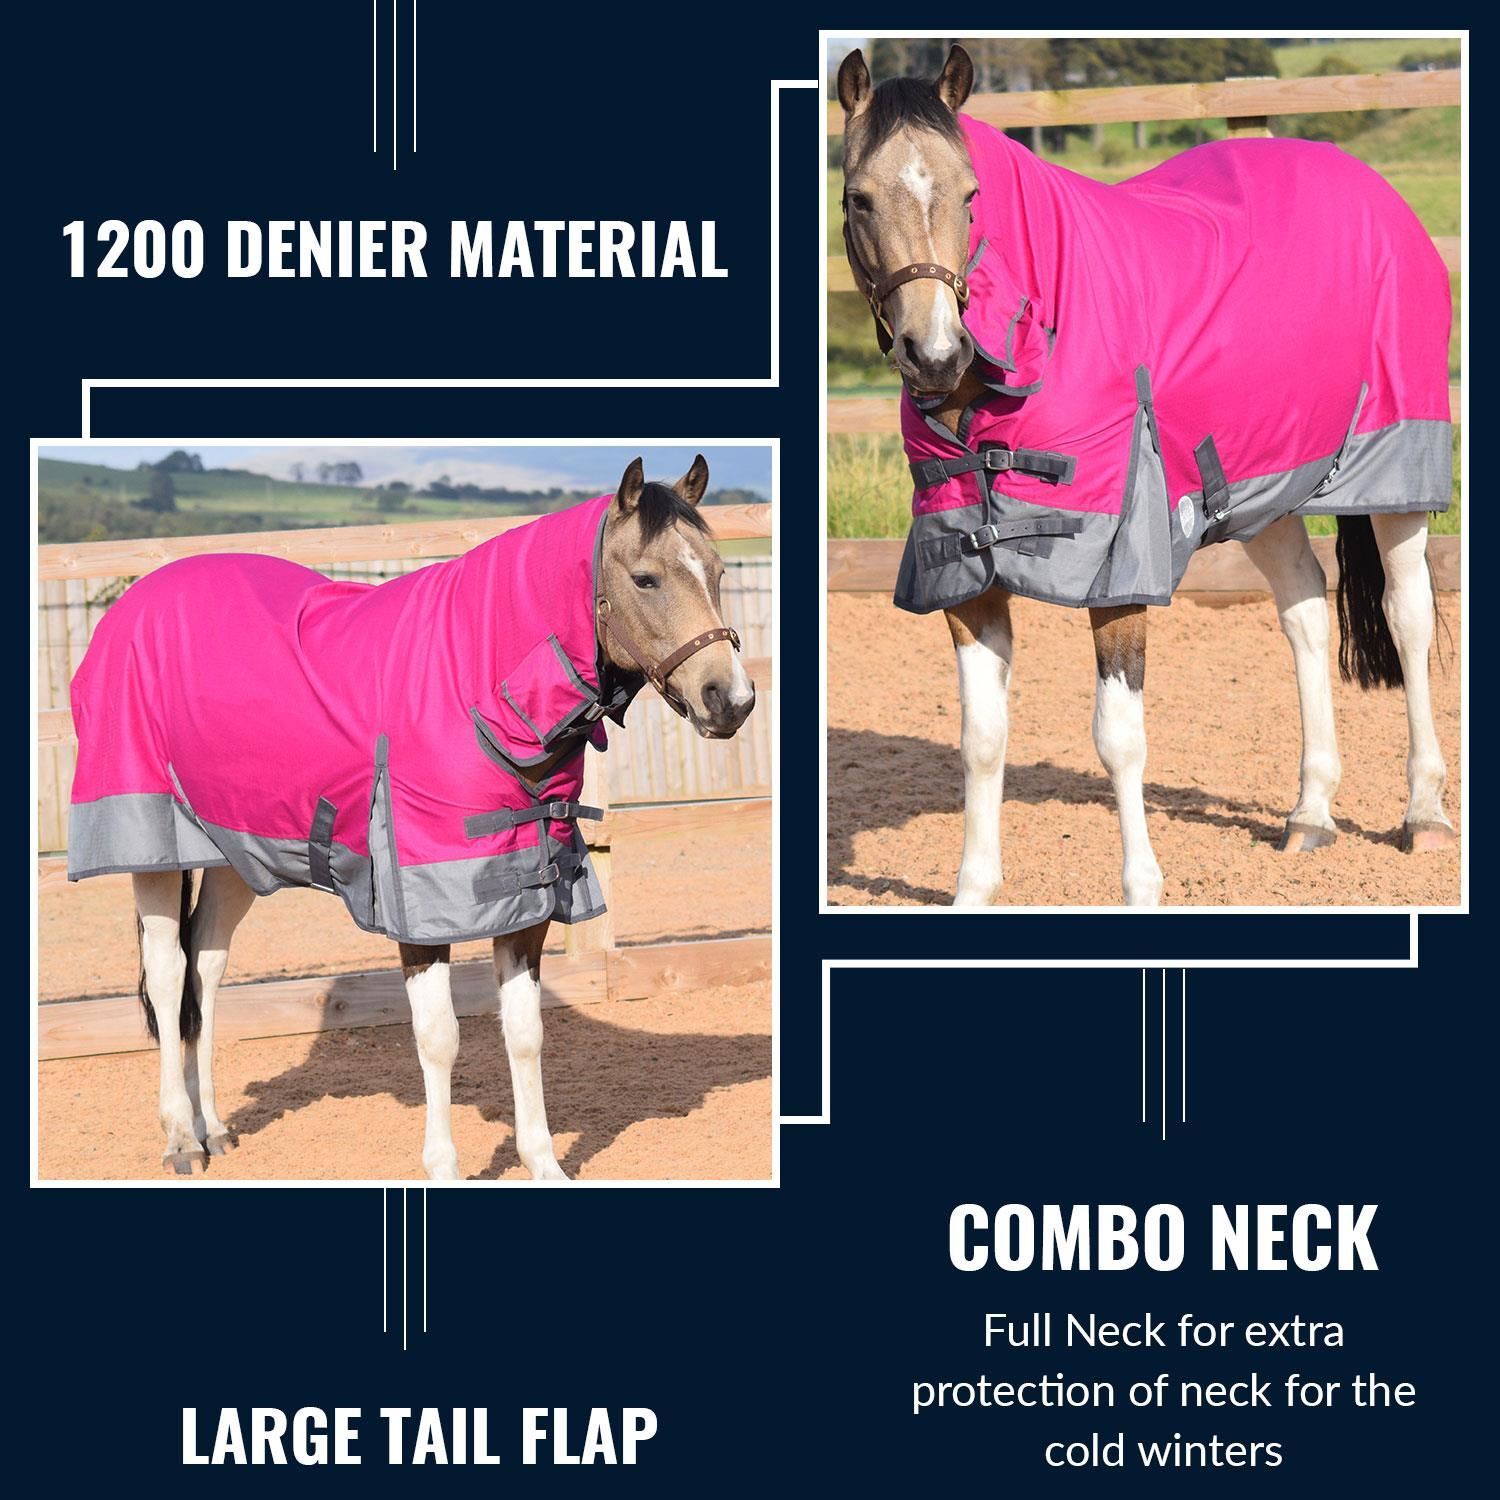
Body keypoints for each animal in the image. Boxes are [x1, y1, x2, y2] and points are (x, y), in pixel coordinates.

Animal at [66, 458, 756, 1177]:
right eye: (645, 578)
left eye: (717, 570)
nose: (730, 699)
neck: (472, 683)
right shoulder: (420, 904)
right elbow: (438, 1038)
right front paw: (444, 1167)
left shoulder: (529, 897)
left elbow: (525, 1033)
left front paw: (544, 1163)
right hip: (153, 845)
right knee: (169, 972)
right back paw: (180, 1137)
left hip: (236, 849)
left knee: (206, 964)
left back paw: (215, 1130)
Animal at [835, 45, 1455, 906]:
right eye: (858, 198)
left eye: (970, 194)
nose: (935, 353)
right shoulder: (965, 574)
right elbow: (982, 738)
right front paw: (972, 889)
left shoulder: (1121, 565)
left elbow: (1117, 737)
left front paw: (1140, 886)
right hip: (1260, 487)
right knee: (1304, 612)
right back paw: (1311, 813)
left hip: (1394, 465)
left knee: (1408, 617)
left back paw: (1423, 813)